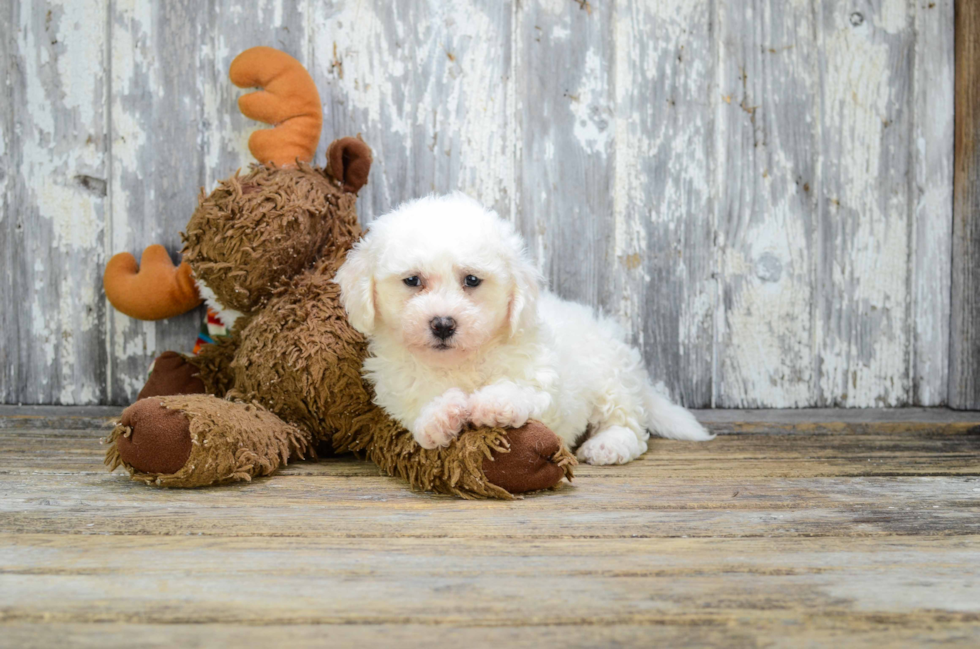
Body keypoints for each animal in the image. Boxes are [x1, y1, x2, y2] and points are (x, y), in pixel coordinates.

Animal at [336, 190, 712, 464]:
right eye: (412, 281)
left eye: (472, 280)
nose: (443, 324)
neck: (461, 361)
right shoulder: (396, 392)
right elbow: (416, 410)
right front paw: (441, 415)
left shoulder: (544, 379)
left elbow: (522, 389)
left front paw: (493, 403)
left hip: (611, 379)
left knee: (629, 424)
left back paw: (608, 445)